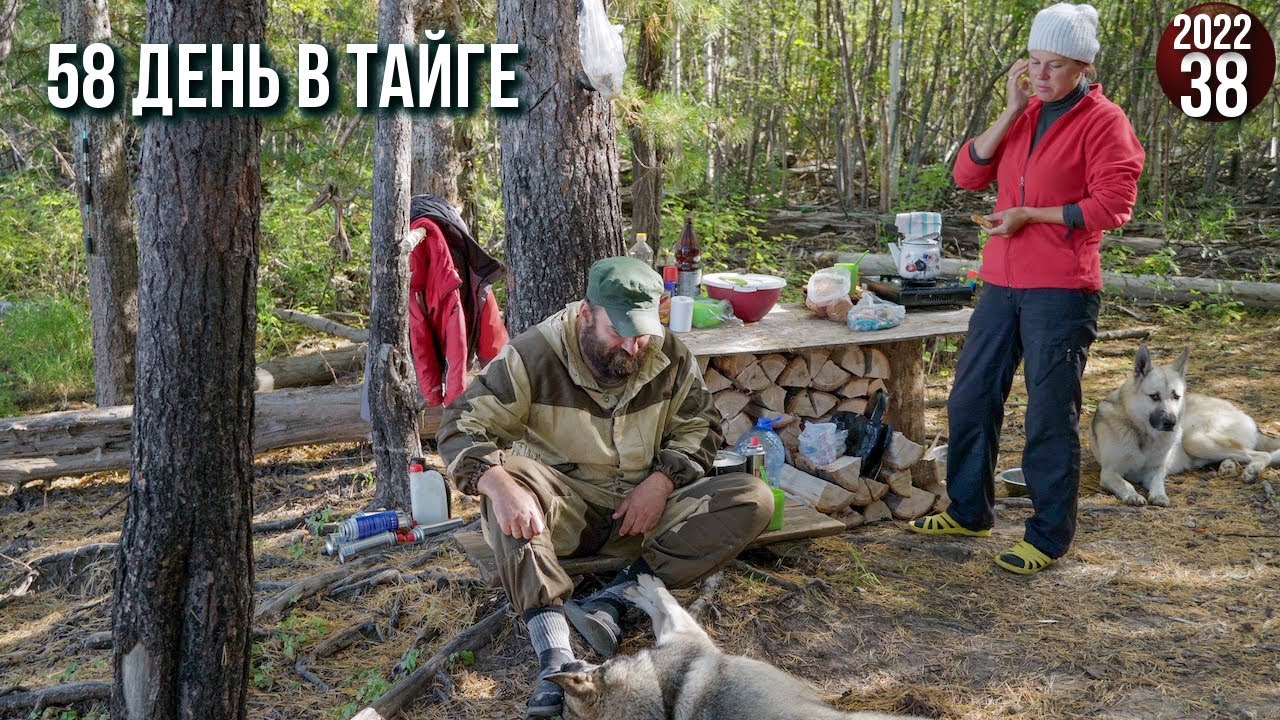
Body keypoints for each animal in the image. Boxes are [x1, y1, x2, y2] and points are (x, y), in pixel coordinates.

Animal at [545, 571, 926, 717]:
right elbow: (665, 603)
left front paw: (639, 588)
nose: (563, 663)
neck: (657, 695)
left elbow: (662, 606)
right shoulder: (688, 637)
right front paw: (645, 587)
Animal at [1090, 343, 1280, 504]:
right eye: (1154, 396)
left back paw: (1251, 470)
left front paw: (1159, 495)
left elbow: (1158, 483)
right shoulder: (1109, 472)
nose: (1171, 423)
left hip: (1194, 439)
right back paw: (1228, 466)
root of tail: (1244, 415)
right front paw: (1133, 495)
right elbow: (1126, 484)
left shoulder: (1155, 470)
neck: (1142, 434)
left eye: (1176, 396)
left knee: (1263, 454)